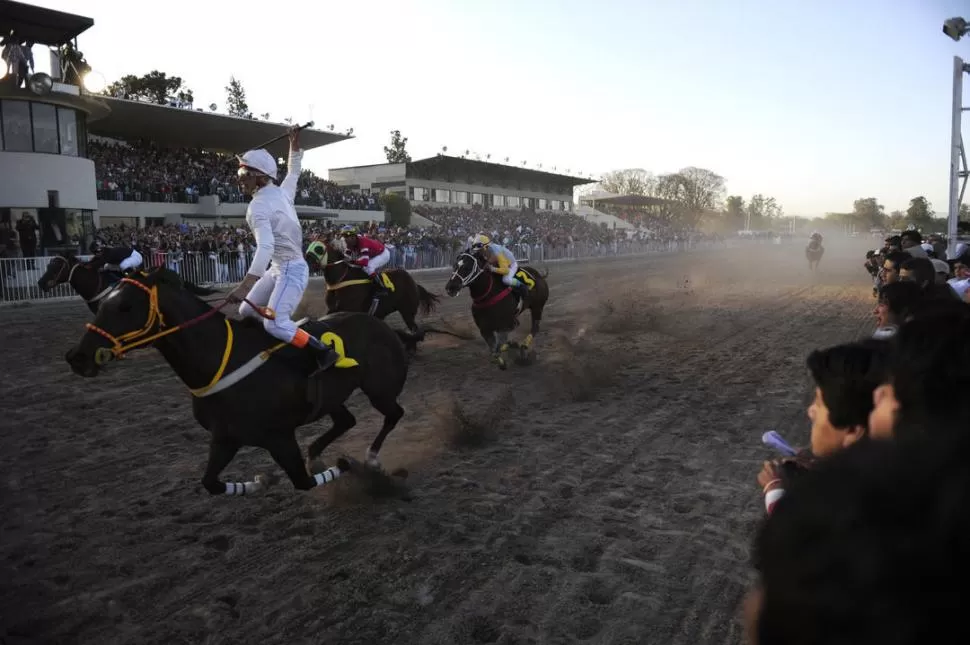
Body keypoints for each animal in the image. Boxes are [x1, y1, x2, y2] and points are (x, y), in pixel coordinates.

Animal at [63, 266, 412, 498]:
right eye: (102, 303)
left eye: (125, 306)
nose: (78, 357)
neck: (220, 359)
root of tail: (385, 327)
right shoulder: (225, 436)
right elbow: (211, 483)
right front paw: (260, 481)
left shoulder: (279, 436)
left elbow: (303, 482)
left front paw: (346, 463)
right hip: (332, 399)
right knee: (346, 420)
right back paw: (317, 454)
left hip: (380, 390)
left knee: (394, 414)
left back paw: (371, 459)